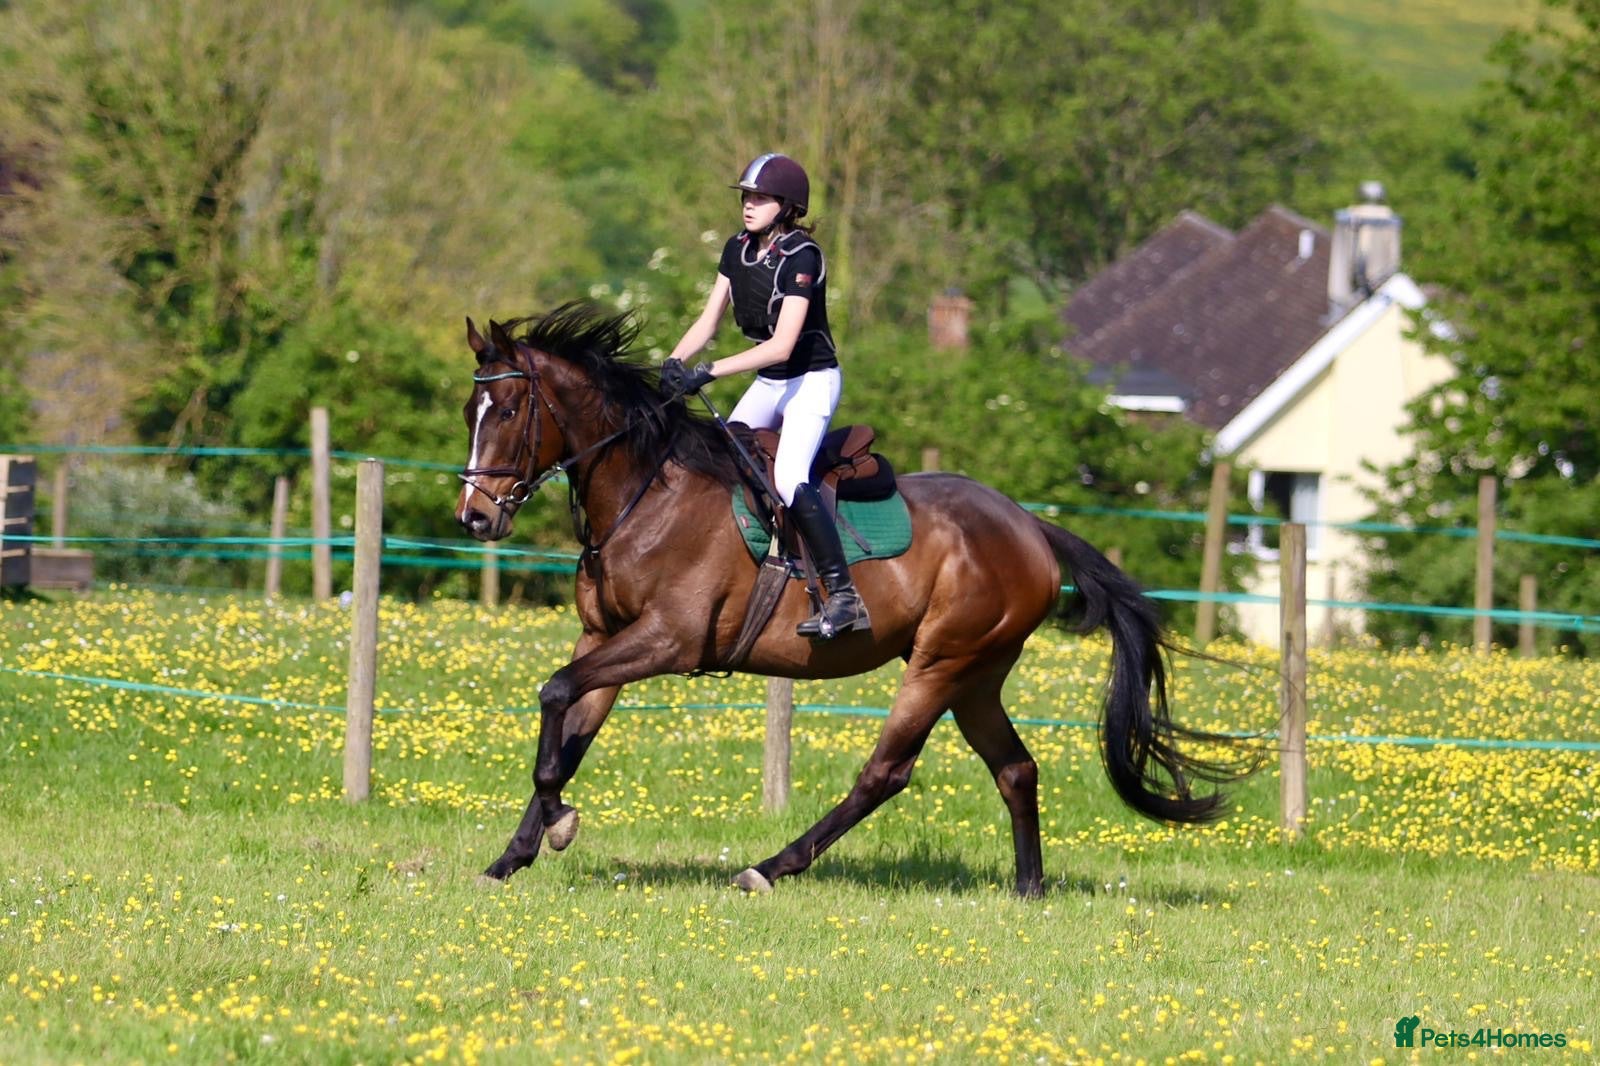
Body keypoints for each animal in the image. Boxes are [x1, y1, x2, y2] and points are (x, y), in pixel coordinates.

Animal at [454, 303, 1250, 898]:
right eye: (470, 409)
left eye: (511, 409)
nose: (475, 519)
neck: (644, 493)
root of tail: (1030, 526)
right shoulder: (603, 638)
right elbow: (566, 729)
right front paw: (518, 851)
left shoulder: (666, 640)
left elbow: (556, 697)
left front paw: (554, 826)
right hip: (976, 675)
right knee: (1015, 768)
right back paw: (1029, 887)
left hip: (939, 663)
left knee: (884, 773)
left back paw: (771, 867)